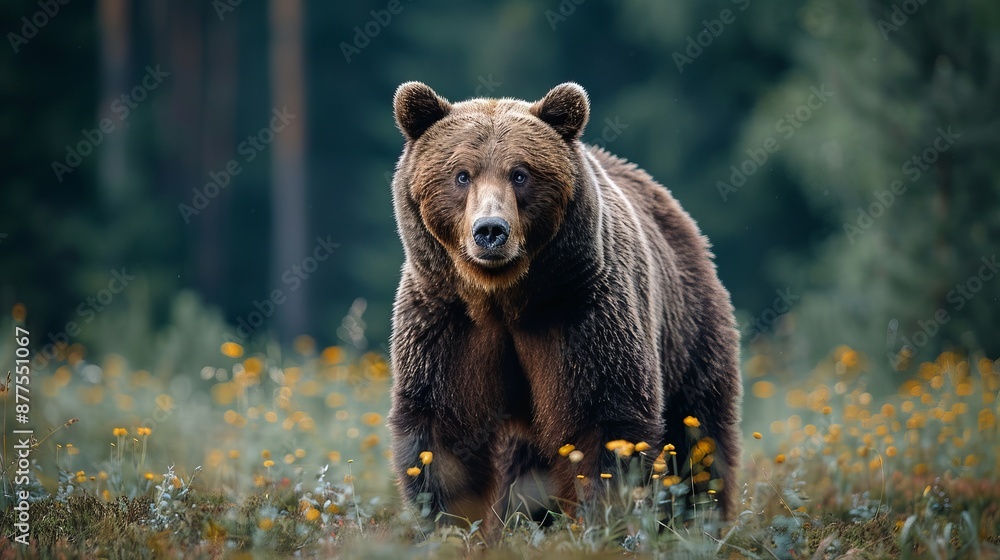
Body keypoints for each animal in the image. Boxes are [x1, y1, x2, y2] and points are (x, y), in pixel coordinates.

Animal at [387, 81, 742, 528]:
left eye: (520, 173)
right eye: (461, 174)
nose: (490, 231)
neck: (502, 298)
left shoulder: (582, 313)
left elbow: (604, 421)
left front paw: (602, 519)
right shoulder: (447, 322)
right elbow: (442, 434)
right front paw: (447, 525)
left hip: (687, 329)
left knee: (698, 434)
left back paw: (701, 518)